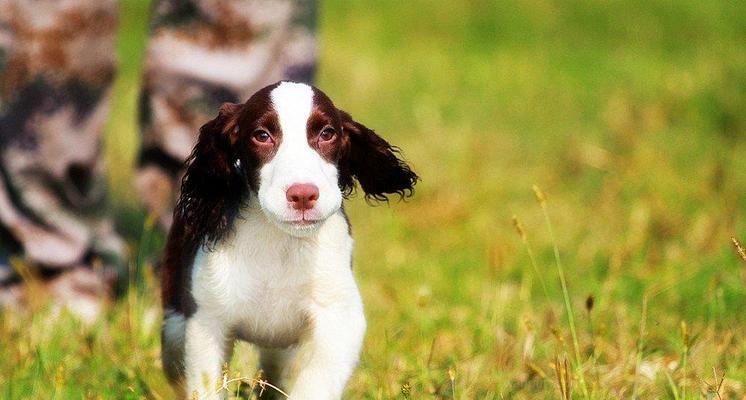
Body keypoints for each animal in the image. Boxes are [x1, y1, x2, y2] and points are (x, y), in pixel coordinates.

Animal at [161, 79, 418, 398]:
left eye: (327, 133)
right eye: (262, 136)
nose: (303, 195)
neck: (280, 242)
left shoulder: (340, 317)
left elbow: (315, 383)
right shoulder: (207, 319)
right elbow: (207, 386)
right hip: (175, 325)